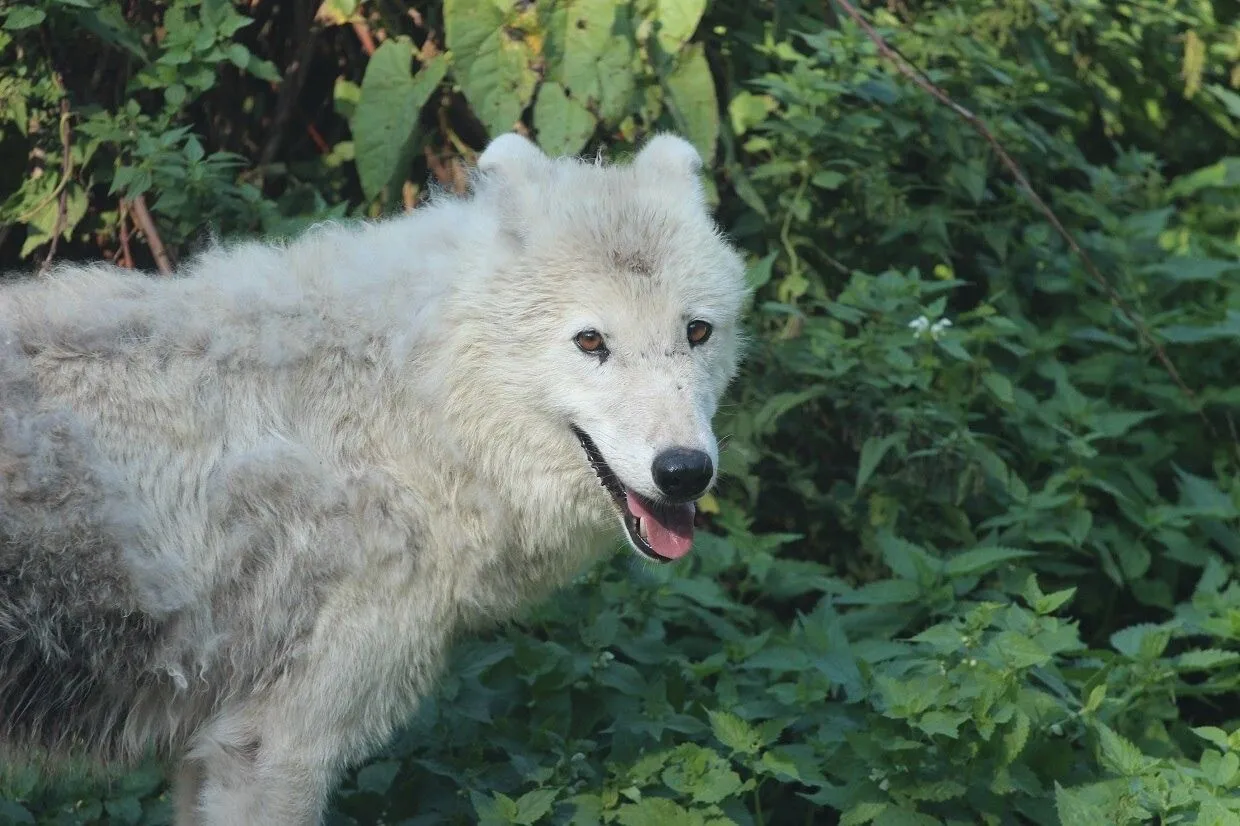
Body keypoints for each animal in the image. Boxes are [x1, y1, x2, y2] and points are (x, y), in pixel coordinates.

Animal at [0, 133, 744, 818]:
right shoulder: (276, 750)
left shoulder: (207, 751)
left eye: (697, 332)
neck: (412, 400)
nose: (684, 472)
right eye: (591, 342)